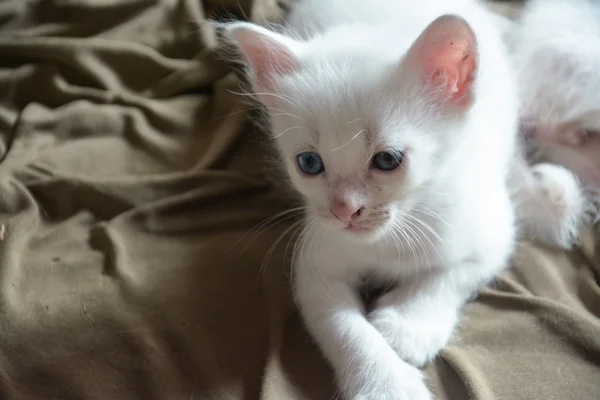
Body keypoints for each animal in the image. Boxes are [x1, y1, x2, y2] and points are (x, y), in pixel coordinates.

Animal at [220, 0, 580, 400]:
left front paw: (408, 326)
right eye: (309, 163)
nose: (344, 210)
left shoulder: (491, 232)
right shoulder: (315, 263)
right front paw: (385, 382)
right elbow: (340, 325)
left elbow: (450, 277)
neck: (394, 236)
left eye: (387, 160)